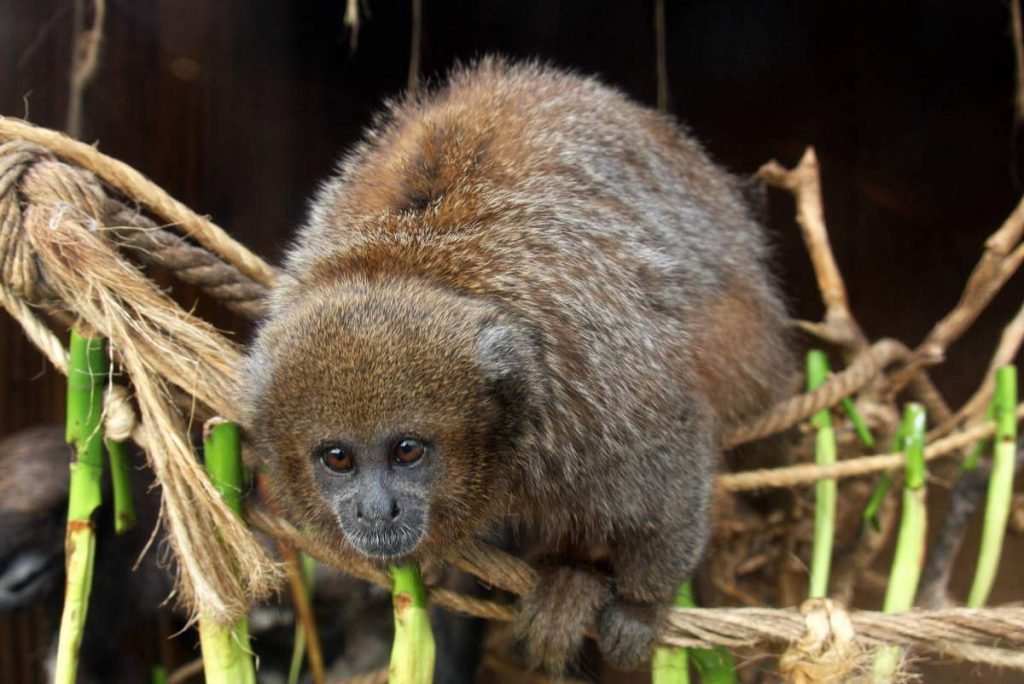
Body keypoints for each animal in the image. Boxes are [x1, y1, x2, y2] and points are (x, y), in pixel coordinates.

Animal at [241, 58, 790, 671]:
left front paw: (643, 604)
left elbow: (668, 460)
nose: (375, 511)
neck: (401, 264)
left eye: (407, 451)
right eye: (337, 459)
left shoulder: (586, 388)